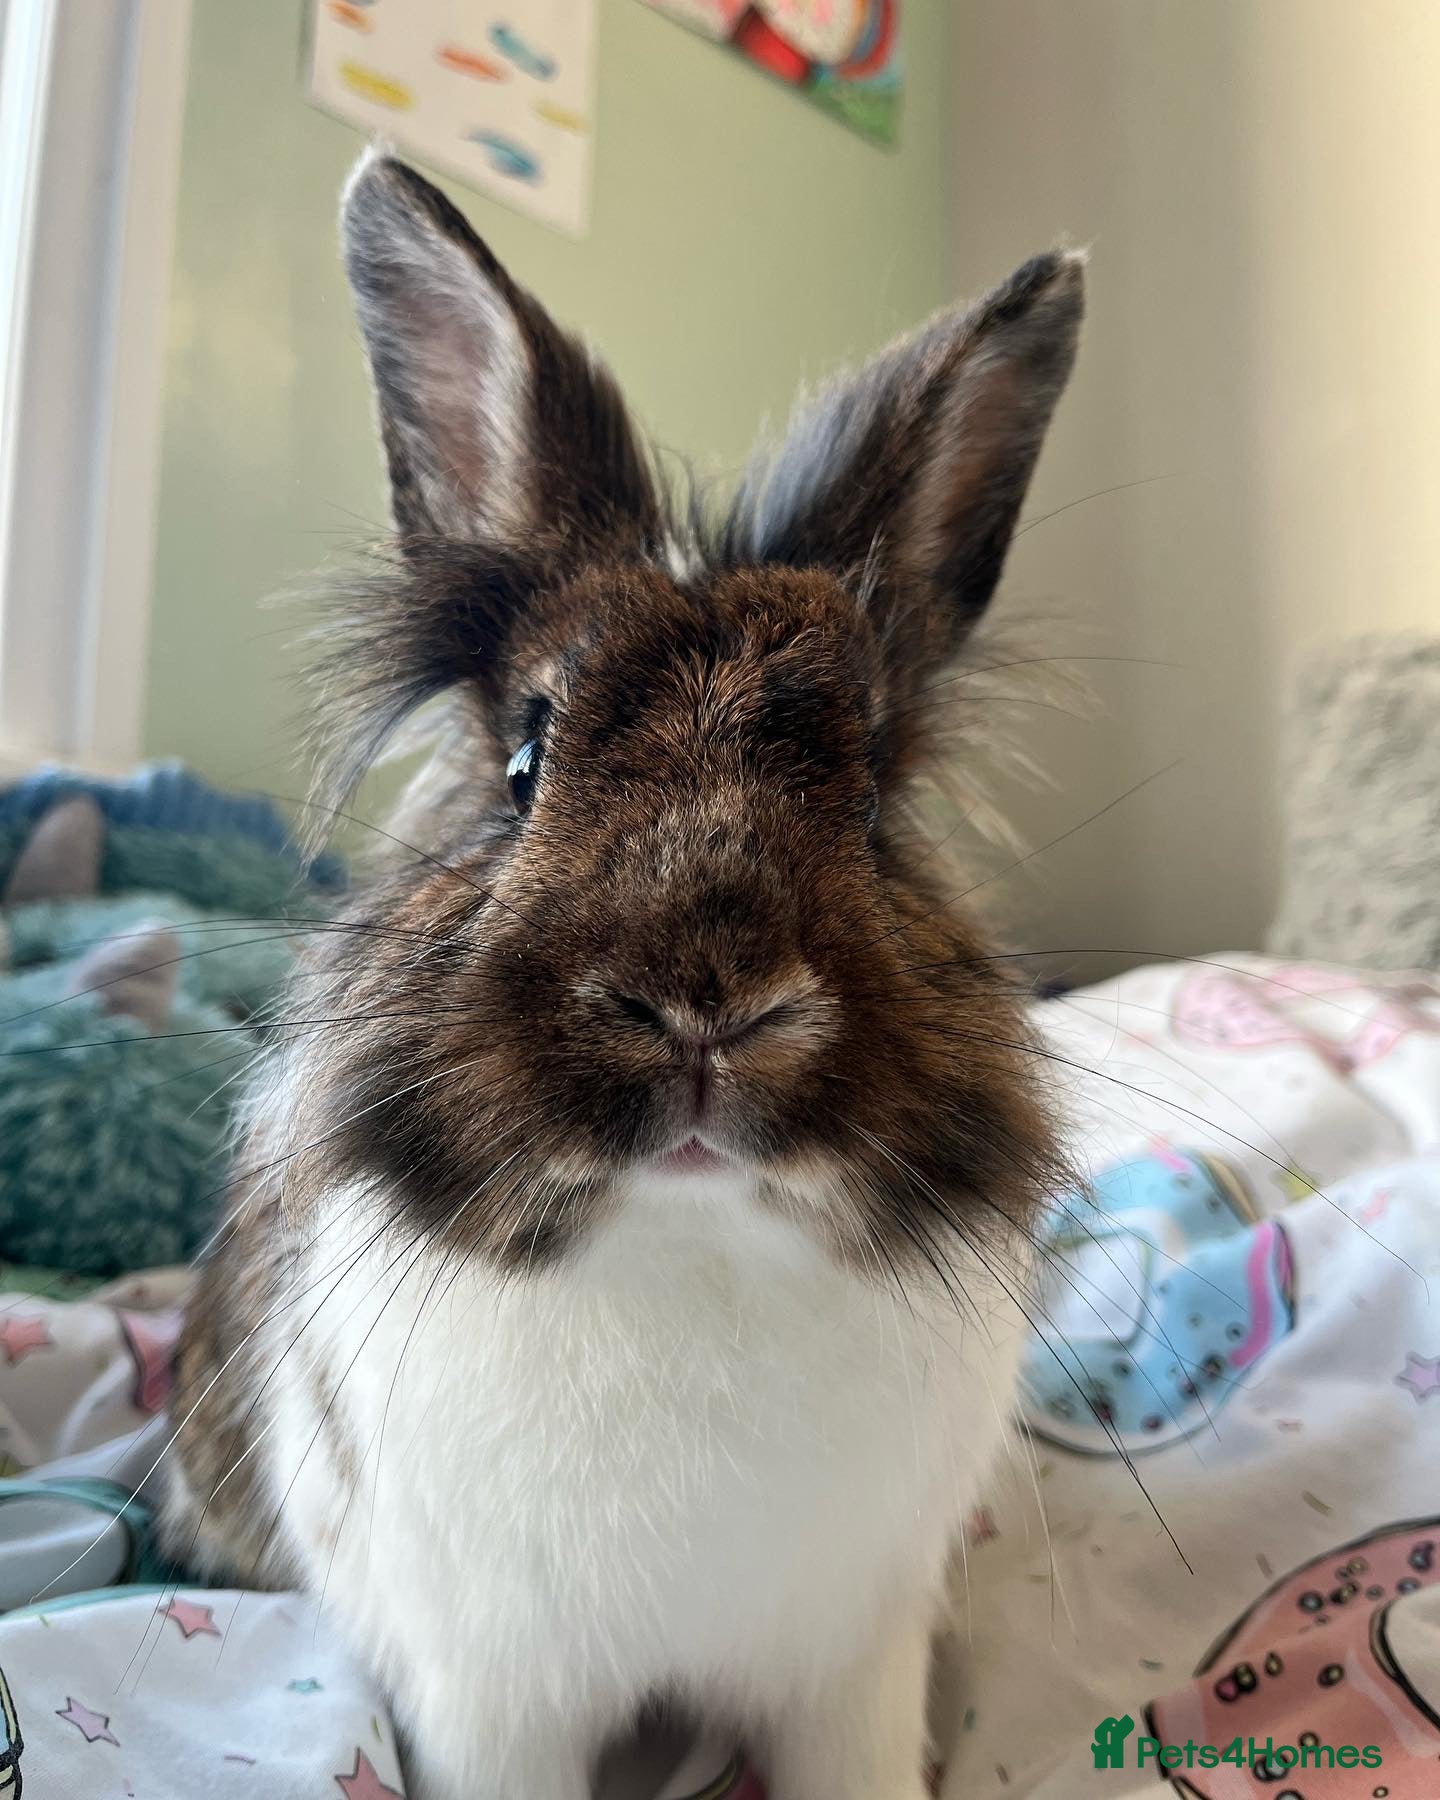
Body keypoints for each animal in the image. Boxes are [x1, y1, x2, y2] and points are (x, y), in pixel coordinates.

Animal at [162, 150, 1083, 1800]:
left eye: (871, 799)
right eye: (526, 761)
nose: (709, 1001)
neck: (689, 1241)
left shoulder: (851, 1671)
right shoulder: (490, 1699)